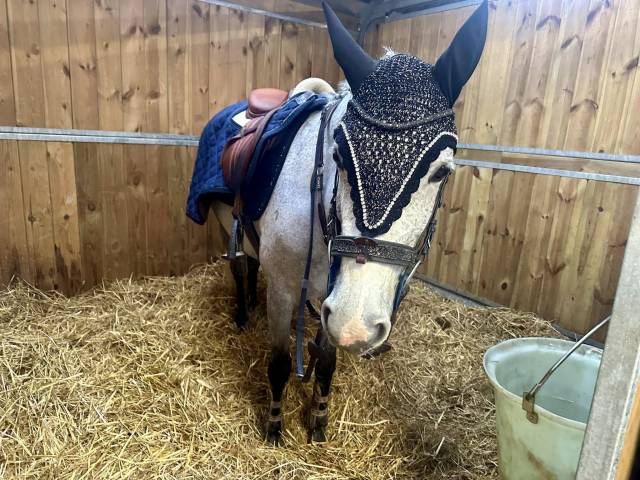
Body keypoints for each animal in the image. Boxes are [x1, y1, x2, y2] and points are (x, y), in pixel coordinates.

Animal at [211, 1, 488, 444]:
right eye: (340, 156)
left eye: (442, 172)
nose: (357, 325)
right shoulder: (288, 291)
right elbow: (279, 363)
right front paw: (274, 427)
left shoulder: (329, 298)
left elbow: (325, 362)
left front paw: (318, 422)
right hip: (225, 224)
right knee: (239, 266)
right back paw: (242, 312)